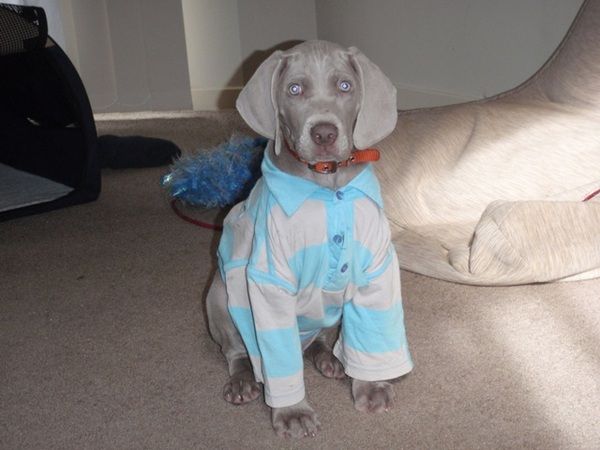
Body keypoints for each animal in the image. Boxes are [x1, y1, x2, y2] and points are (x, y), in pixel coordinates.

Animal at [205, 40, 413, 438]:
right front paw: (291, 412)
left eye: (345, 86)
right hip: (221, 297)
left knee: (318, 341)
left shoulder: (377, 272)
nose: (324, 134)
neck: (326, 184)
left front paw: (370, 387)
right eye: (295, 89)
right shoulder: (269, 282)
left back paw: (330, 360)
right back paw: (243, 382)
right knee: (238, 351)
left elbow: (371, 333)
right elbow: (277, 360)